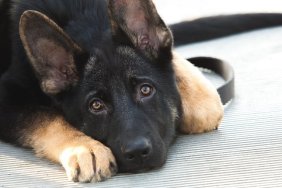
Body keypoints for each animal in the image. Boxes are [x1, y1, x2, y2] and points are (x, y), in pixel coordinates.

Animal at [0, 0, 224, 183]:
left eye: (145, 90)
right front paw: (85, 148)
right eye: (96, 105)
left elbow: (207, 107)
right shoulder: (7, 95)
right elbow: (48, 119)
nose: (137, 152)